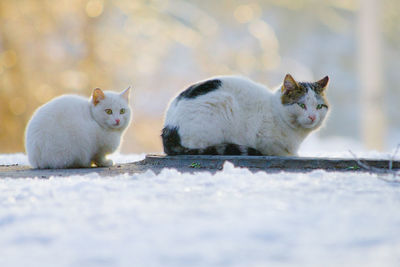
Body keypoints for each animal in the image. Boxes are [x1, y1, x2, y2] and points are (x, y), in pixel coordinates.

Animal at [161, 74, 330, 157]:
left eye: (319, 107)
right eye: (301, 105)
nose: (313, 117)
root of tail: (169, 129)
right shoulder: (265, 141)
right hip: (222, 104)